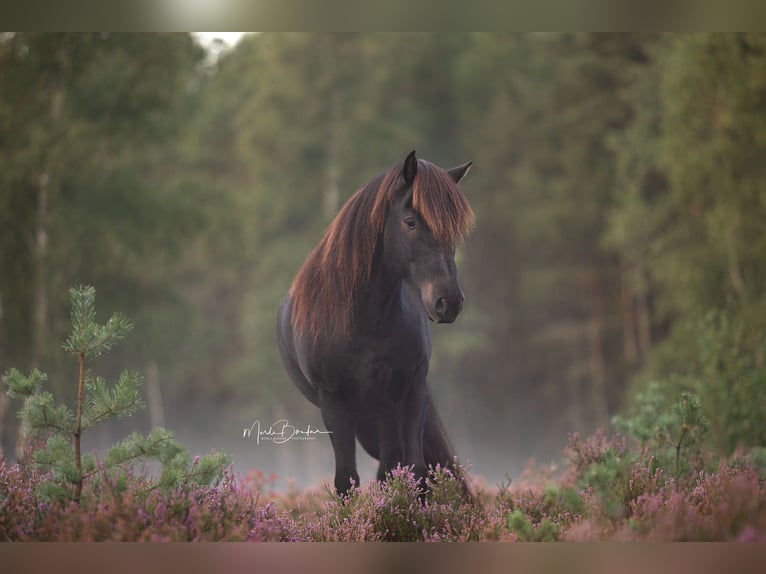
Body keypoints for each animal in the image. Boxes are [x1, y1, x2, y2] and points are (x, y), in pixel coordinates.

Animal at [276, 150, 474, 496]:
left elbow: (413, 469)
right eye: (410, 222)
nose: (448, 302)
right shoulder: (333, 403)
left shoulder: (410, 389)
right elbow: (347, 480)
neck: (365, 322)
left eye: (453, 230)